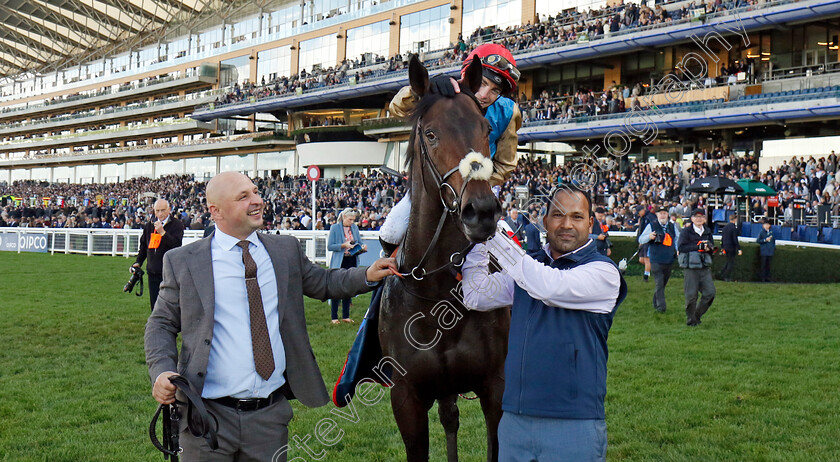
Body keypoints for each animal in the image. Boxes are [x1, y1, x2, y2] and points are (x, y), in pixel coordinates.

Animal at [382, 56, 512, 460]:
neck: (439, 290)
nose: (481, 211)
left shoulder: (494, 387)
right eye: (430, 134)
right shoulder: (406, 398)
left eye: (485, 129)